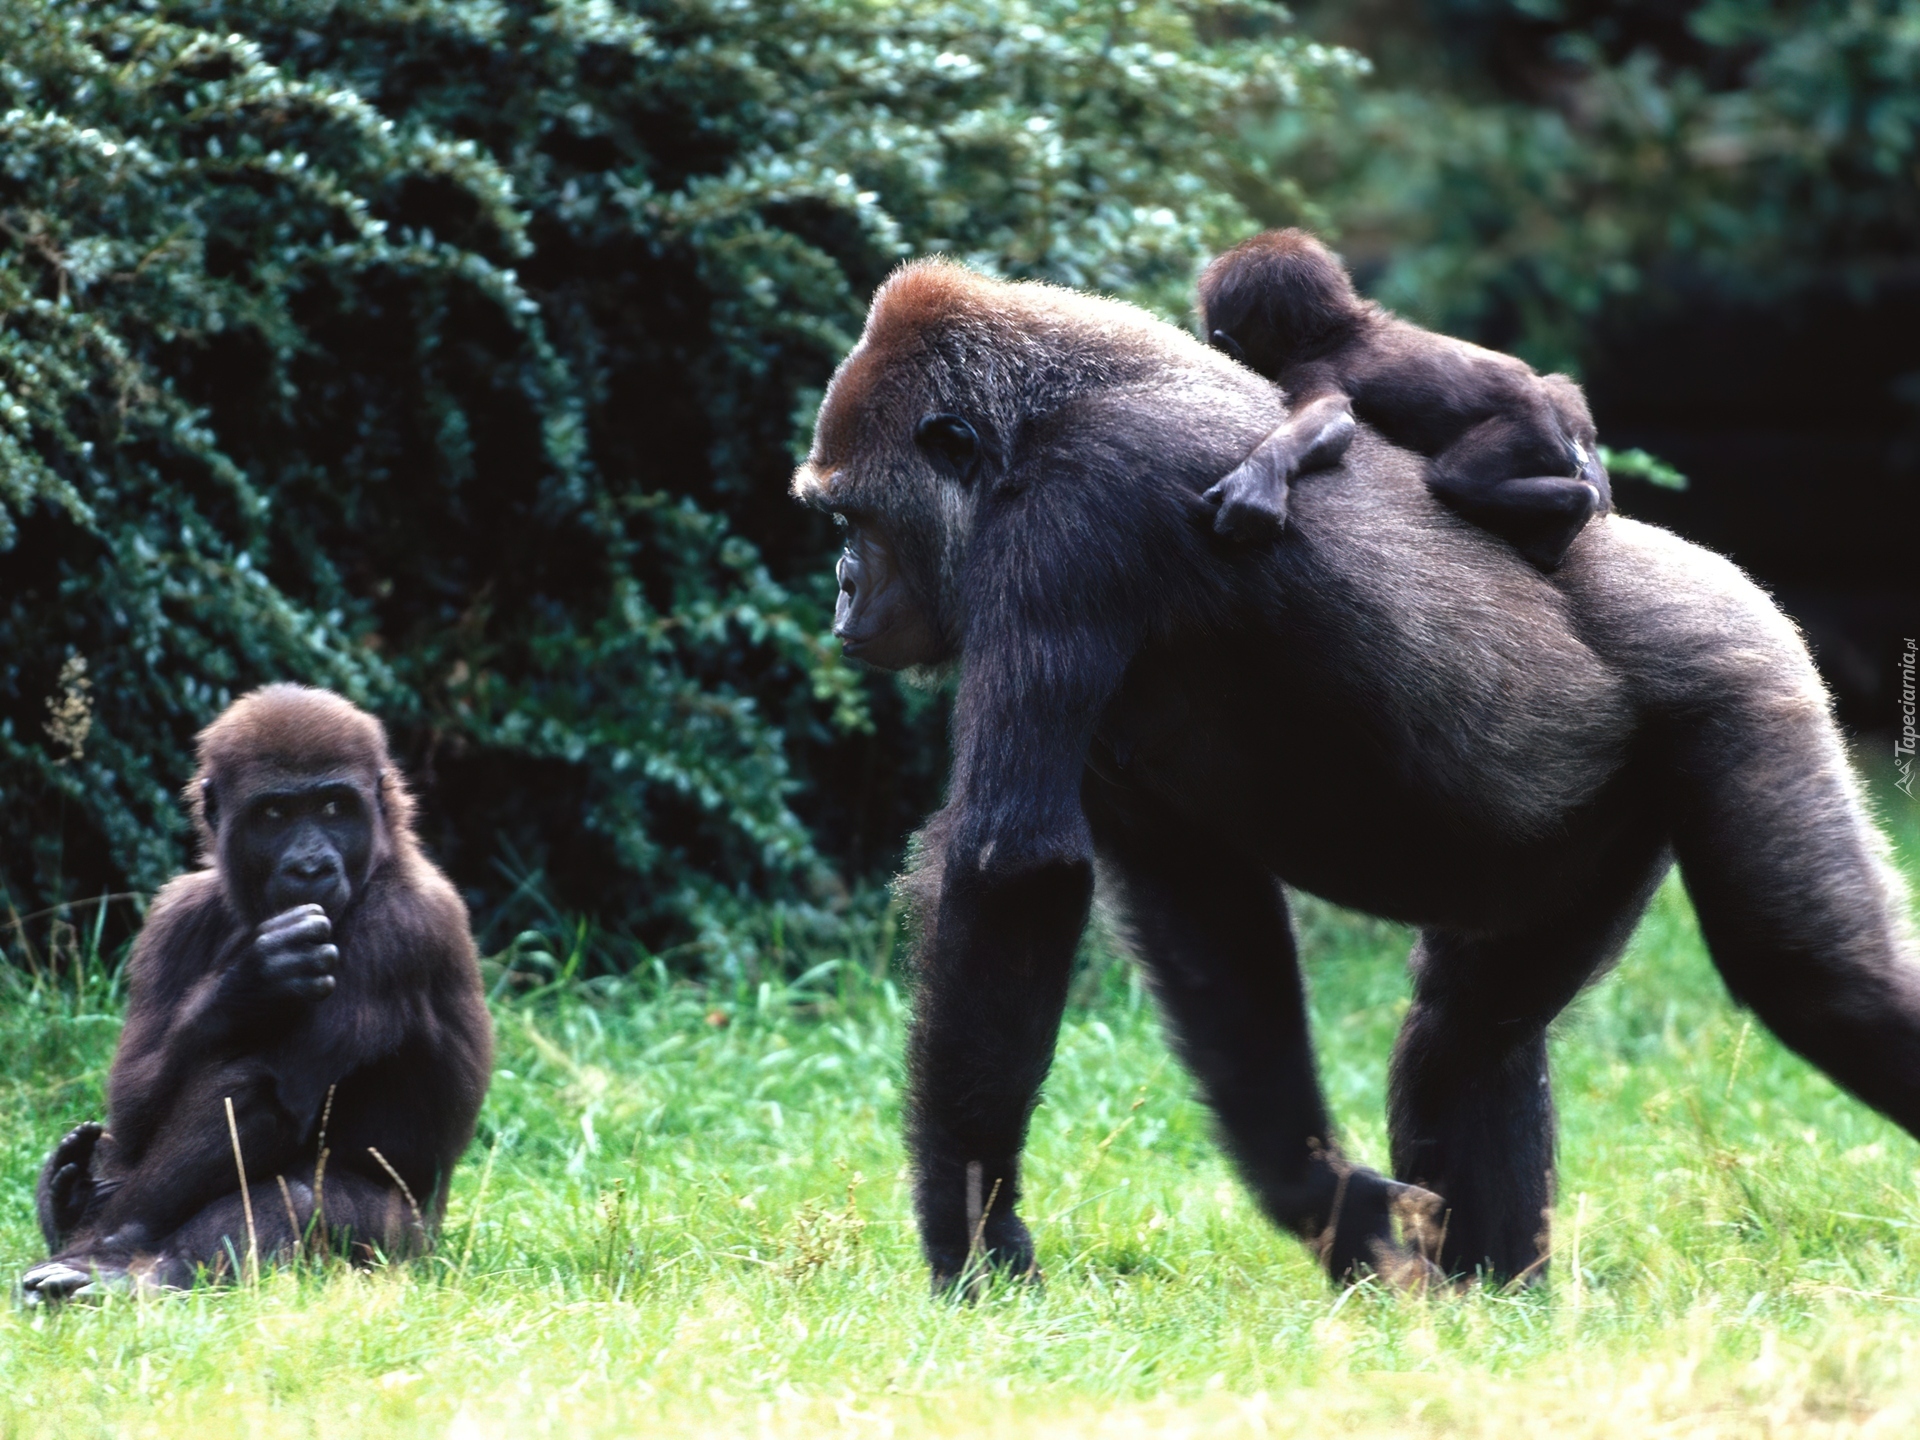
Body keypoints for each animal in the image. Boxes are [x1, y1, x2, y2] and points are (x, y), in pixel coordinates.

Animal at [26, 687, 491, 1305]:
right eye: (275, 814)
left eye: (334, 808)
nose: (312, 866)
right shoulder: (174, 913)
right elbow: (136, 1101)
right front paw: (247, 982)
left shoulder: (402, 924)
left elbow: (269, 1092)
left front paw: (108, 1245)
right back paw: (70, 1198)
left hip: (407, 1252)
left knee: (297, 1192)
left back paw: (144, 1271)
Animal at [791, 259, 1920, 1297]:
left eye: (852, 520)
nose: (841, 590)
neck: (1035, 423)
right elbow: (1206, 927)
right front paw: (1329, 1203)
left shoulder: (1068, 519)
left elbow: (1012, 868)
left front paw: (974, 1242)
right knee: (1470, 1034)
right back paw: (1497, 1292)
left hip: (1741, 674)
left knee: (1821, 980)